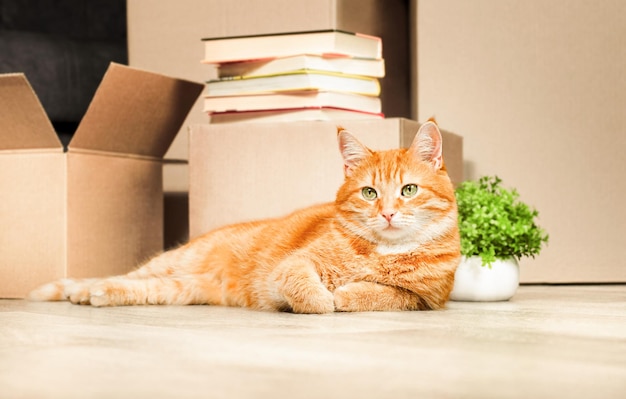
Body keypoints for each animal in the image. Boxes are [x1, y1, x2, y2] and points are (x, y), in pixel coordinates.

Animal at [28, 120, 458, 314]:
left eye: (408, 190)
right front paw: (324, 298)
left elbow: (386, 293)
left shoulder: (425, 300)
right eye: (369, 193)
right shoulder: (292, 266)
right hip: (174, 261)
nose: (387, 213)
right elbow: (307, 289)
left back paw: (96, 295)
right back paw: (81, 291)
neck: (383, 252)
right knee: (117, 275)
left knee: (139, 286)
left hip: (181, 288)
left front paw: (347, 293)